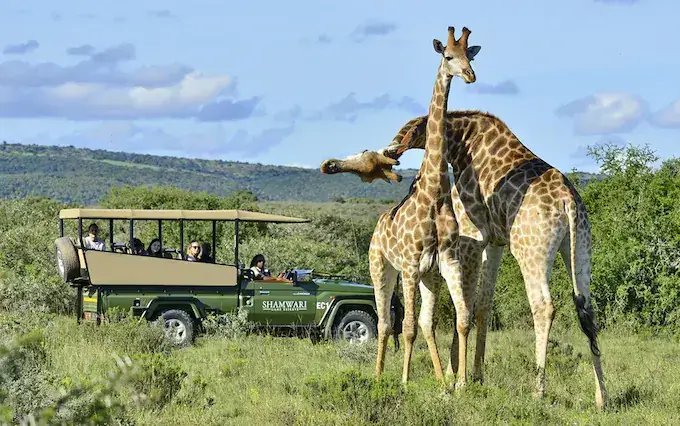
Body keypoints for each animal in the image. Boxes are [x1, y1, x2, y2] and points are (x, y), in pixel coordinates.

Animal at [322, 110, 608, 410]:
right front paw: (475, 375)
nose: (391, 151)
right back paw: (601, 396)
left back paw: (538, 390)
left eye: (408, 128)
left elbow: (466, 307)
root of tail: (568, 202)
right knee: (587, 310)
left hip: (531, 250)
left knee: (543, 306)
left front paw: (456, 378)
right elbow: (482, 305)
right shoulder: (495, 242)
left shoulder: (471, 237)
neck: (462, 146)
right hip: (580, 244)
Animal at [362, 25, 484, 388]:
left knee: (426, 324)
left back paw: (441, 379)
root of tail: (377, 226)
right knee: (386, 323)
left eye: (470, 56)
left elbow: (459, 319)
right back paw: (378, 375)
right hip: (381, 267)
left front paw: (456, 383)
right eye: (449, 56)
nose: (470, 76)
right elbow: (407, 328)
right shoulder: (410, 265)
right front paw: (404, 381)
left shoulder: (444, 262)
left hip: (427, 276)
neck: (434, 195)